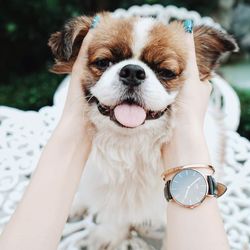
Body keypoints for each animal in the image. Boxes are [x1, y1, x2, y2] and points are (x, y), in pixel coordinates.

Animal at [48, 13, 238, 250]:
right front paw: (110, 234)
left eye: (166, 72)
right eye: (103, 62)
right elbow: (116, 213)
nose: (132, 71)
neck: (132, 146)